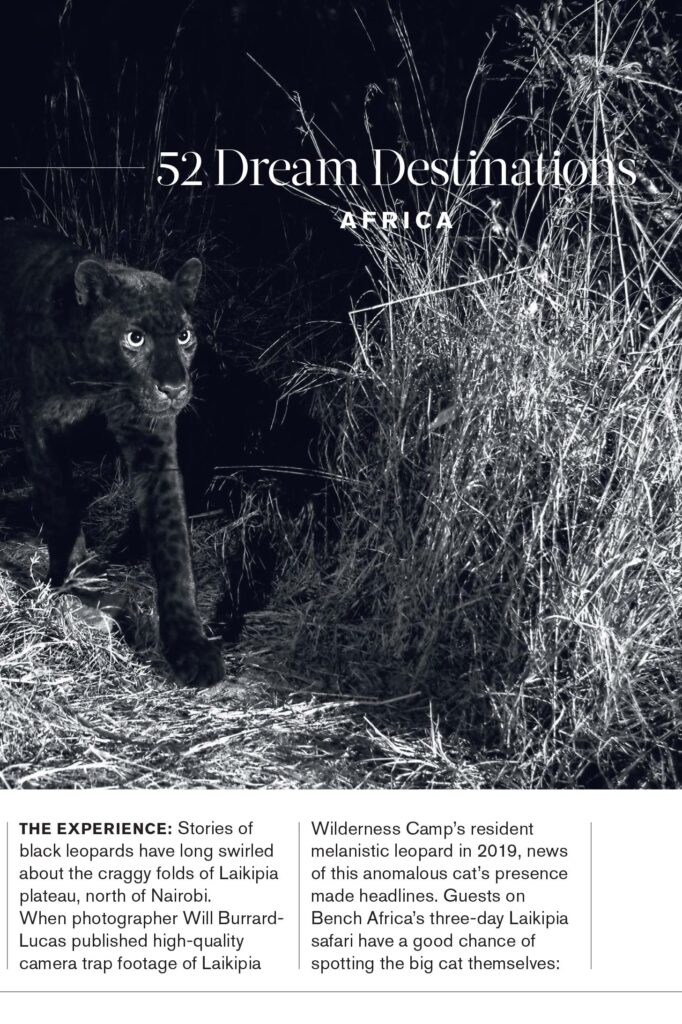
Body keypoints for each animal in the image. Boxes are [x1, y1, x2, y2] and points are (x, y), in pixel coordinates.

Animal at [0, 219, 225, 687]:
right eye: (134, 338)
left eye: (184, 335)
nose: (174, 388)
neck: (101, 382)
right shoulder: (40, 421)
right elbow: (61, 502)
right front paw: (74, 579)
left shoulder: (152, 436)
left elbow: (172, 540)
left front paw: (189, 645)